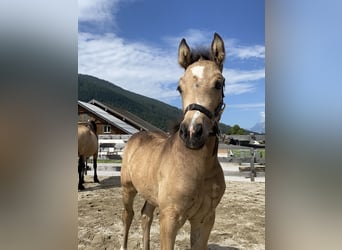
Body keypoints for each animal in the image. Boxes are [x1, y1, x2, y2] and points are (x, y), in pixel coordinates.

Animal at [120, 33, 227, 250]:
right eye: (179, 87)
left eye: (218, 83)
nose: (192, 132)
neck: (200, 168)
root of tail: (137, 135)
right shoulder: (170, 219)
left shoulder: (205, 219)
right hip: (128, 188)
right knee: (128, 215)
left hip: (151, 194)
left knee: (145, 215)